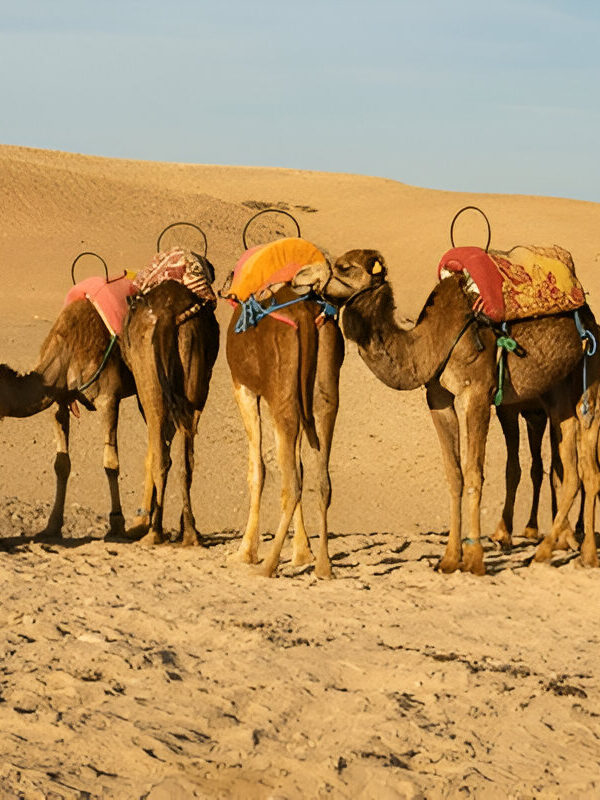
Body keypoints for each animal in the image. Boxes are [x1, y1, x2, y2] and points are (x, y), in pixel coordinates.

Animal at [121, 276, 219, 546]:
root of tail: (166, 314)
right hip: (191, 372)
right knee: (185, 461)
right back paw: (190, 534)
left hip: (150, 381)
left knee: (162, 455)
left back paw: (155, 532)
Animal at [226, 286, 344, 578]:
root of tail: (304, 316)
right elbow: (297, 464)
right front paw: (302, 553)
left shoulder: (244, 387)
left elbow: (256, 470)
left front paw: (245, 552)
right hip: (323, 393)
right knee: (321, 480)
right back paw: (323, 566)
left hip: (282, 398)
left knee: (293, 484)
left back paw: (268, 565)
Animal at [293, 250, 600, 574]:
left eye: (345, 267)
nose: (299, 277)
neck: (431, 343)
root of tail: (588, 316)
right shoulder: (438, 399)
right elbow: (454, 474)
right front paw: (450, 558)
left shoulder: (476, 394)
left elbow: (474, 472)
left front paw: (474, 559)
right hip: (557, 394)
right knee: (570, 471)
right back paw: (550, 551)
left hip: (590, 379)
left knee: (588, 465)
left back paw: (578, 552)